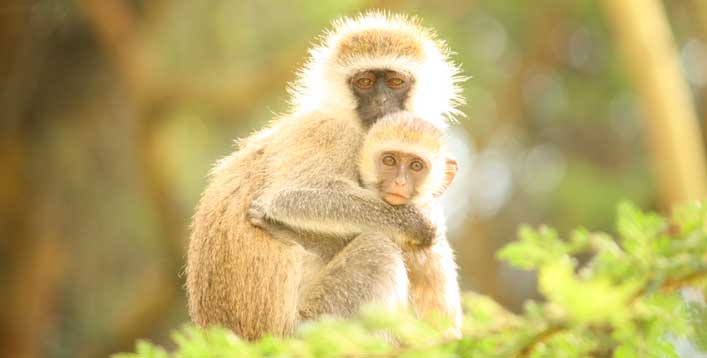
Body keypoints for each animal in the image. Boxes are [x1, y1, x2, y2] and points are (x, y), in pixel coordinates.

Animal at [188, 11, 464, 340]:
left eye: (395, 81)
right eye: (365, 82)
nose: (382, 103)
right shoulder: (332, 133)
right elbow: (289, 197)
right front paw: (416, 223)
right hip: (312, 326)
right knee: (378, 251)